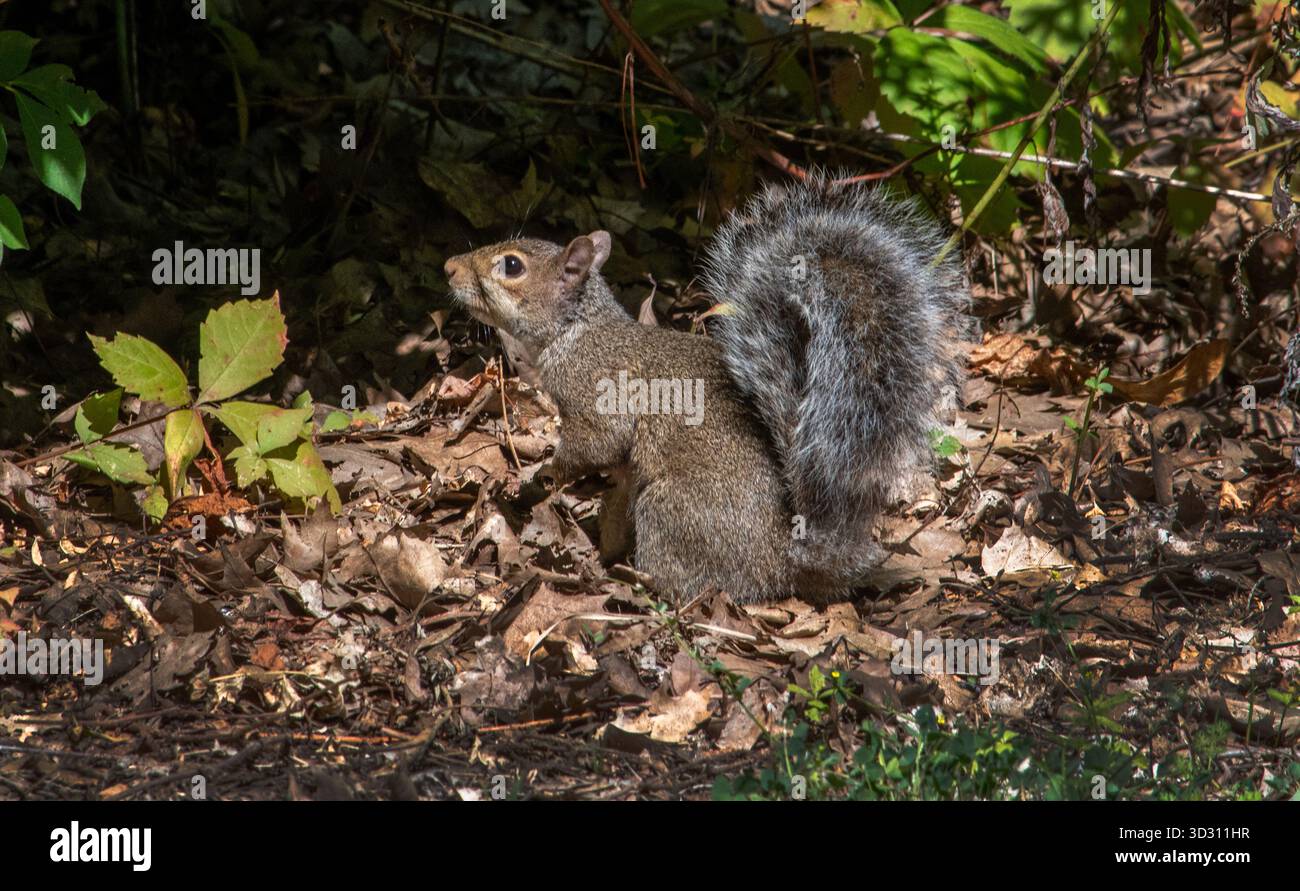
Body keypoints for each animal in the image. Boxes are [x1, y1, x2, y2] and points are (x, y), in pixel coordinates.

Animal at [443, 172, 969, 603]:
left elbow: (598, 442)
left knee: (687, 584)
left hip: (669, 509)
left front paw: (545, 474)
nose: (449, 267)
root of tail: (780, 563)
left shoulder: (598, 390)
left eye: (512, 266)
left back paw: (635, 583)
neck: (576, 331)